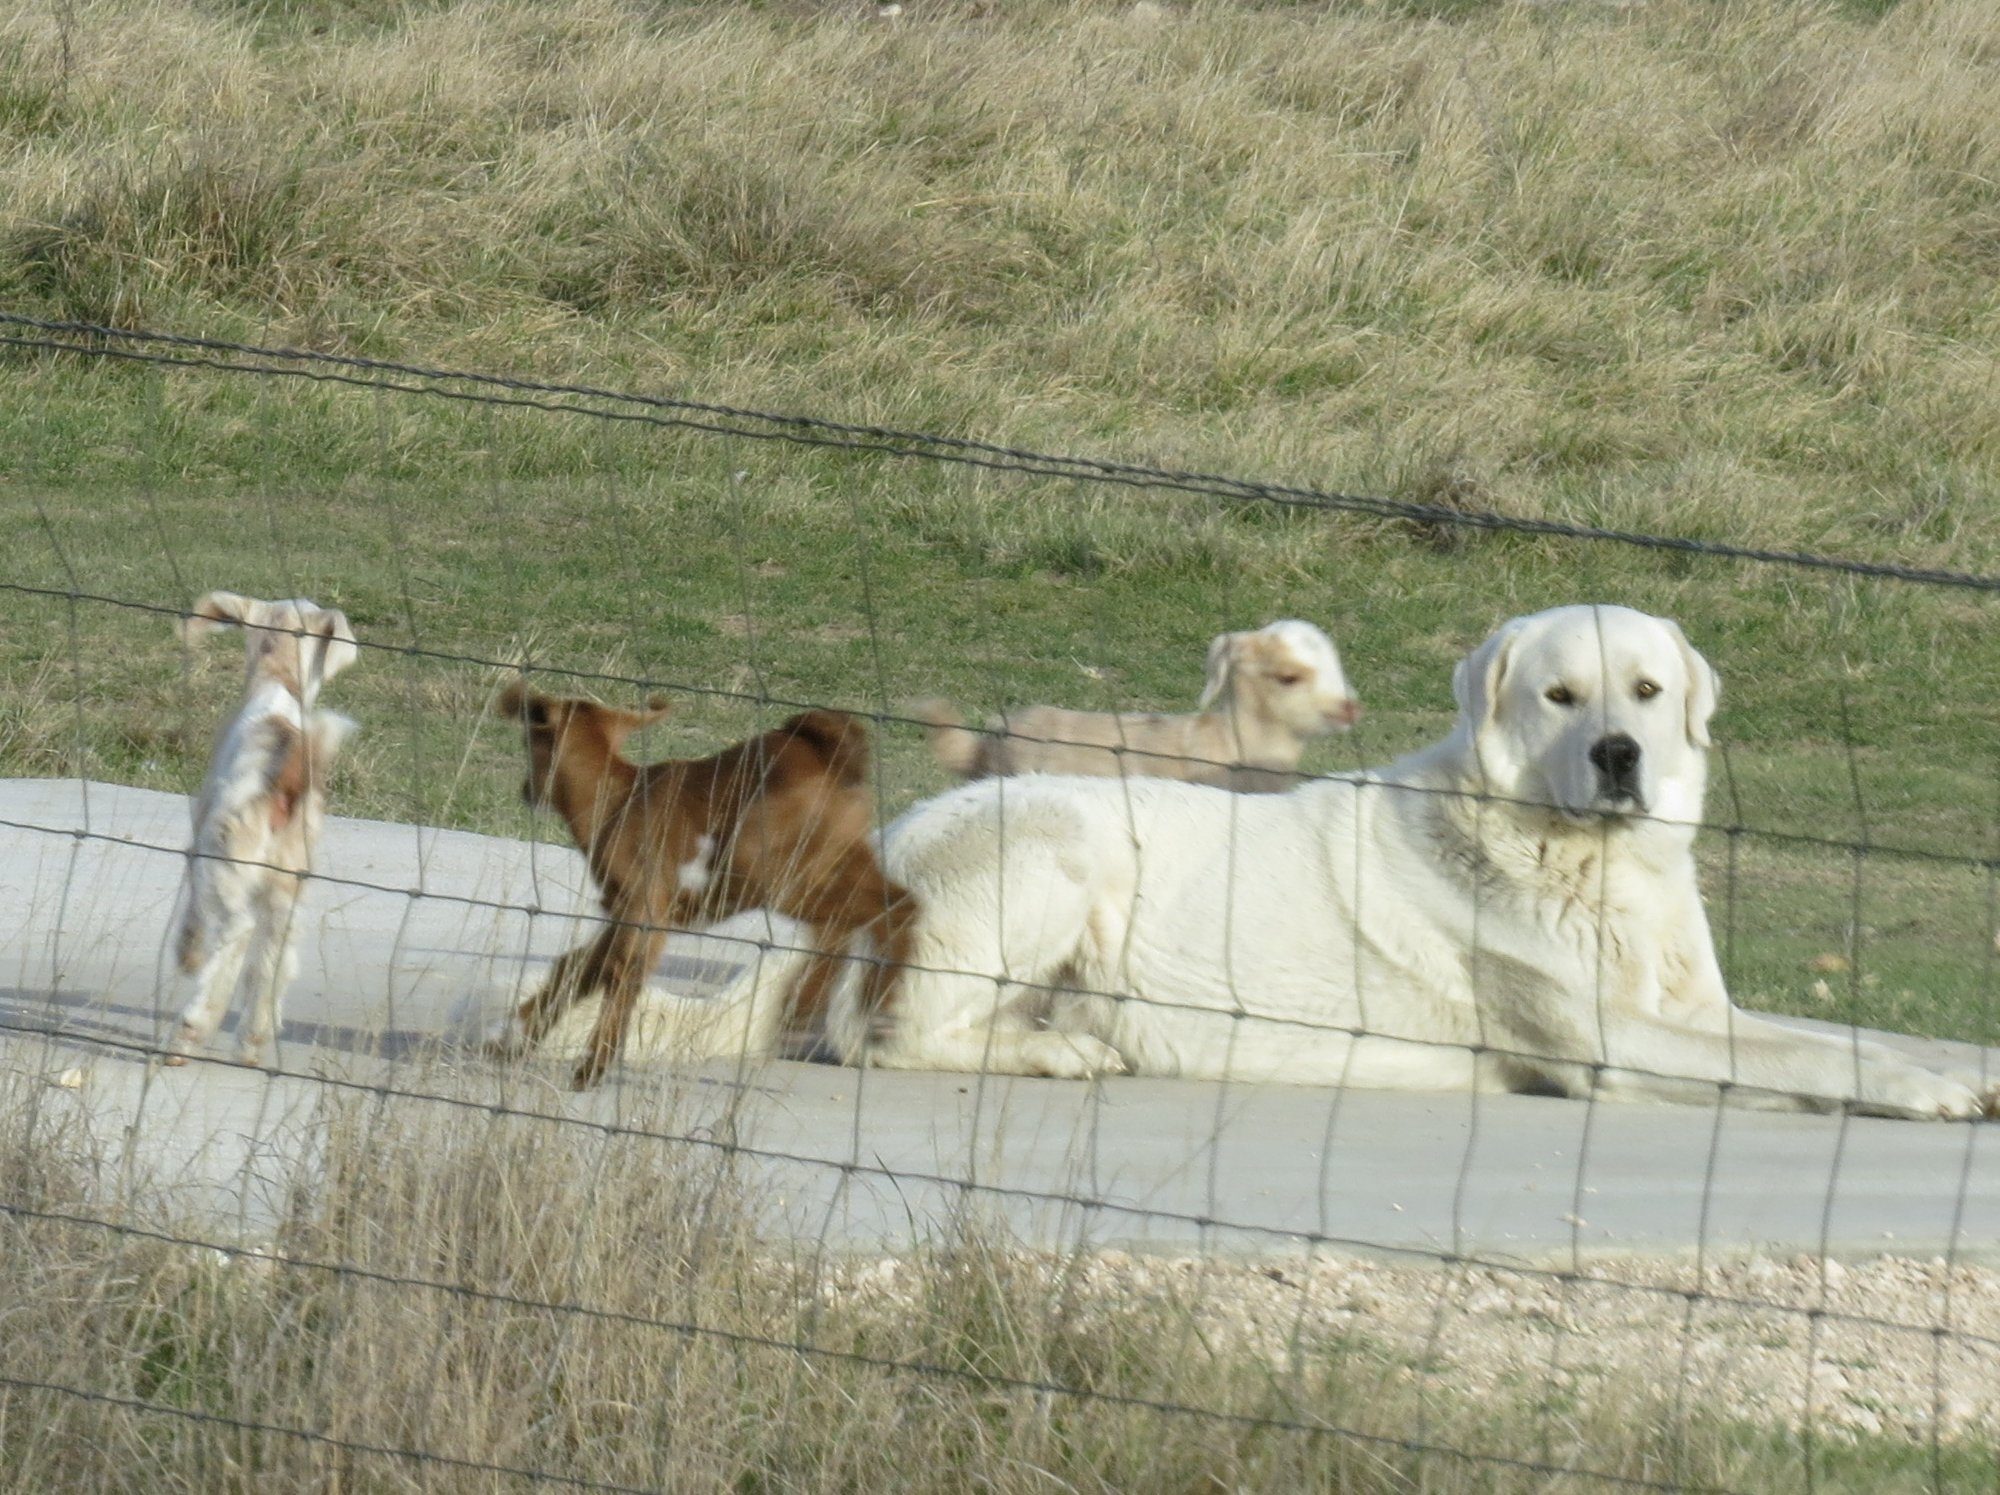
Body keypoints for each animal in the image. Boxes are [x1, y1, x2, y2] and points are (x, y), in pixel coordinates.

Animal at [166, 592, 358, 1068]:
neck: (280, 685)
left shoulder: (202, 830)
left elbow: (193, 910)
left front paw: (188, 955)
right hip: (289, 875)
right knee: (274, 951)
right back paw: (252, 1037)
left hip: (228, 851)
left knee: (237, 929)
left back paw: (191, 1027)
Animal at [488, 685, 918, 1089]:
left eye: (530, 741)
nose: (527, 789)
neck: (615, 801)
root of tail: (827, 751)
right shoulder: (625, 908)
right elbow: (580, 967)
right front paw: (509, 1042)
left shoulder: (645, 903)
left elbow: (618, 972)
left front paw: (588, 1069)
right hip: (843, 857)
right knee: (897, 904)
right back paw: (871, 1007)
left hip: (775, 870)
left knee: (847, 919)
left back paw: (813, 1007)